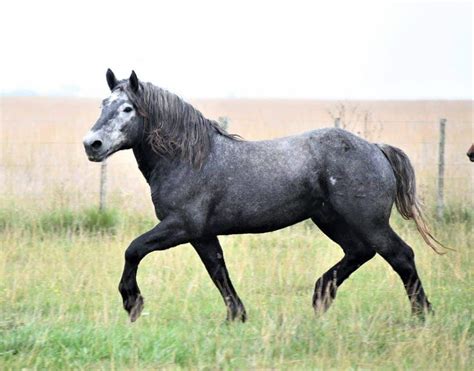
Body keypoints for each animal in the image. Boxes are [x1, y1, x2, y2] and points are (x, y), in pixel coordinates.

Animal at [82, 70, 444, 322]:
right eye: (103, 104)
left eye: (127, 108)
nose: (92, 144)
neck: (189, 159)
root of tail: (376, 149)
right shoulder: (202, 234)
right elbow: (218, 270)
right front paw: (237, 315)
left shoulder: (181, 226)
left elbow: (133, 250)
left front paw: (133, 303)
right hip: (332, 220)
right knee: (359, 252)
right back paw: (320, 297)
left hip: (368, 221)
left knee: (400, 256)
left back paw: (421, 316)